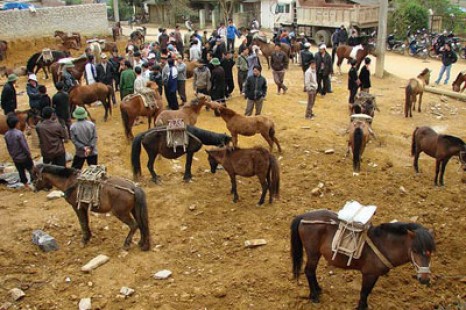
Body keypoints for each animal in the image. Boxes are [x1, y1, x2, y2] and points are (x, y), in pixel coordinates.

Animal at [292, 209, 436, 308]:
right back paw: (314, 296)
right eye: (415, 251)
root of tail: (304, 216)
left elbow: (367, 292)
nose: (424, 279)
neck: (384, 244)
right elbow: (364, 293)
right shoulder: (369, 274)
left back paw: (318, 289)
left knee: (311, 272)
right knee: (309, 271)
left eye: (430, 252)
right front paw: (361, 307)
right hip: (313, 253)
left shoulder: (374, 275)